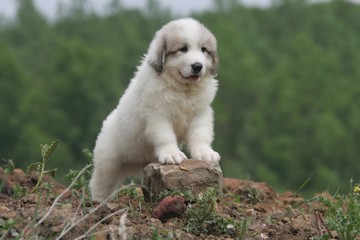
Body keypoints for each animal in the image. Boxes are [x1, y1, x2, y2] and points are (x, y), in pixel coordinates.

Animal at [88, 17, 221, 201]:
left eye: (204, 50)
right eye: (183, 49)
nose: (197, 66)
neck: (183, 89)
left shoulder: (200, 113)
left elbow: (200, 134)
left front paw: (204, 153)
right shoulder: (158, 115)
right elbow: (165, 136)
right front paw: (172, 154)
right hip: (108, 162)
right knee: (100, 184)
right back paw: (99, 202)